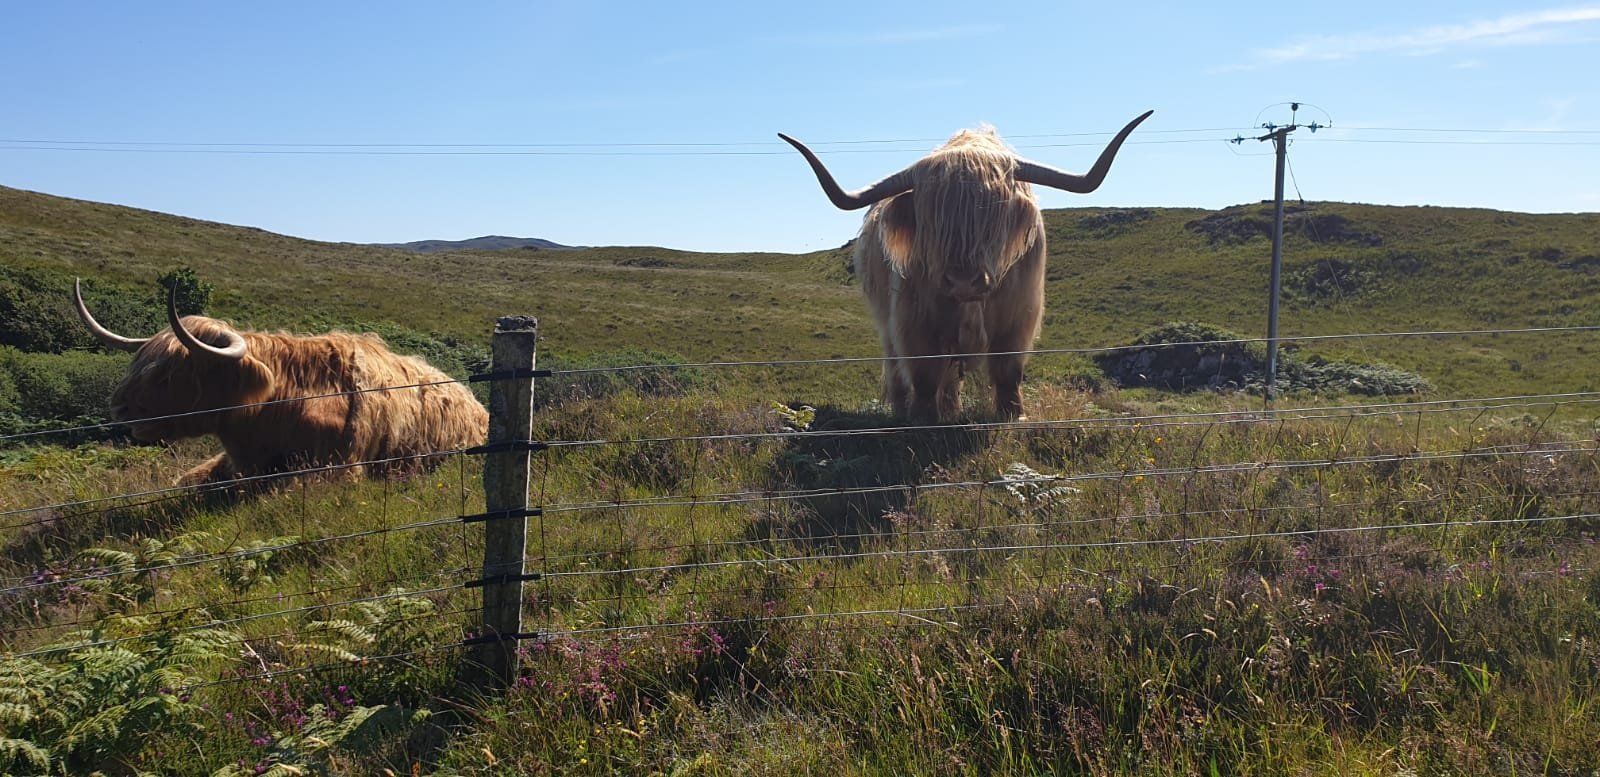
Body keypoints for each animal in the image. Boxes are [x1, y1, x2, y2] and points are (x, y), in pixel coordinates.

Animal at [784, 111, 1152, 418]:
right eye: (932, 218)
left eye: (994, 215)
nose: (963, 282)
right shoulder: (912, 320)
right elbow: (923, 373)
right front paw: (922, 419)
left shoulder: (1019, 317)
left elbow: (1007, 372)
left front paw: (1013, 415)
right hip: (885, 321)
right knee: (898, 367)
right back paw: (906, 412)